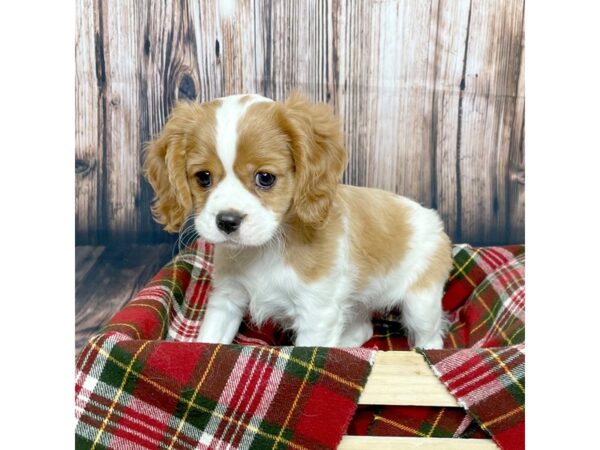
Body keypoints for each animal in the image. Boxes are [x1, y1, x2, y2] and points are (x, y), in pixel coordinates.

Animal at [145, 92, 452, 348]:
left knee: (431, 338)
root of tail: (434, 220)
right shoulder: (227, 297)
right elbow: (210, 340)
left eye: (265, 178)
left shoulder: (317, 312)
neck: (266, 248)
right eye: (203, 177)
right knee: (363, 328)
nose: (227, 221)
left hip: (421, 303)